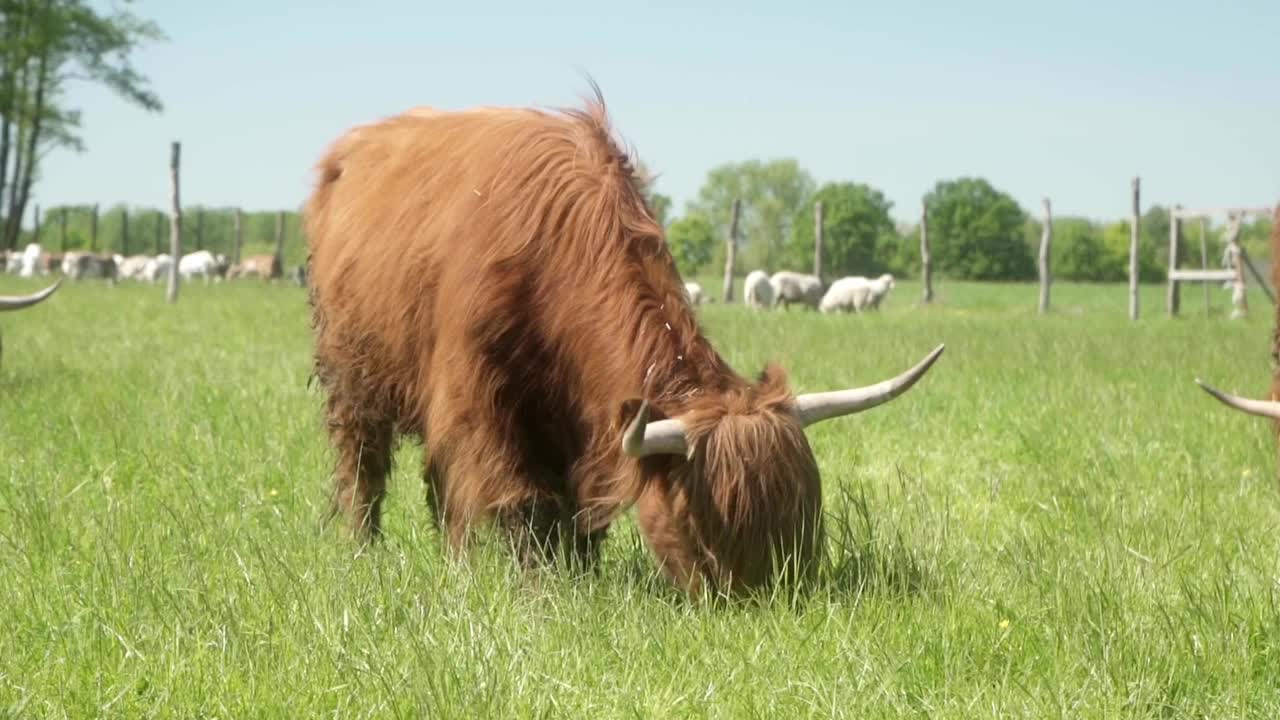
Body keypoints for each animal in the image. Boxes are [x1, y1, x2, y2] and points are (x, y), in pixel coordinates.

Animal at [296, 92, 942, 597]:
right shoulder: (476, 399)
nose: (768, 602)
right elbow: (513, 498)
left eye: (804, 519)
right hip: (353, 374)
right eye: (701, 529)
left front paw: (581, 576)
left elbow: (583, 507)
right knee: (365, 467)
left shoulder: (584, 418)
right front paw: (531, 588)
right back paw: (370, 550)